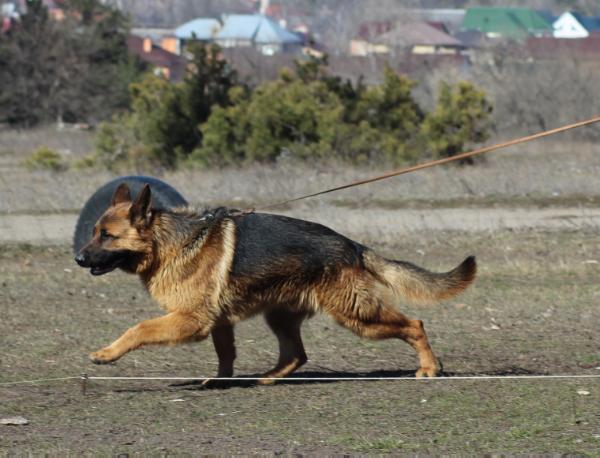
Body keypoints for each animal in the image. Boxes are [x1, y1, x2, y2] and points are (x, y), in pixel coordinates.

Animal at [75, 182, 476, 382]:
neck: (167, 243)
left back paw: (429, 367)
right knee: (296, 354)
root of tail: (352, 246)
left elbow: (139, 328)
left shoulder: (192, 320)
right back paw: (267, 377)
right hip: (281, 317)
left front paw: (107, 353)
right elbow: (225, 355)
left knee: (415, 324)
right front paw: (221, 381)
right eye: (94, 232)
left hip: (358, 316)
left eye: (107, 236)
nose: (78, 258)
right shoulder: (219, 323)